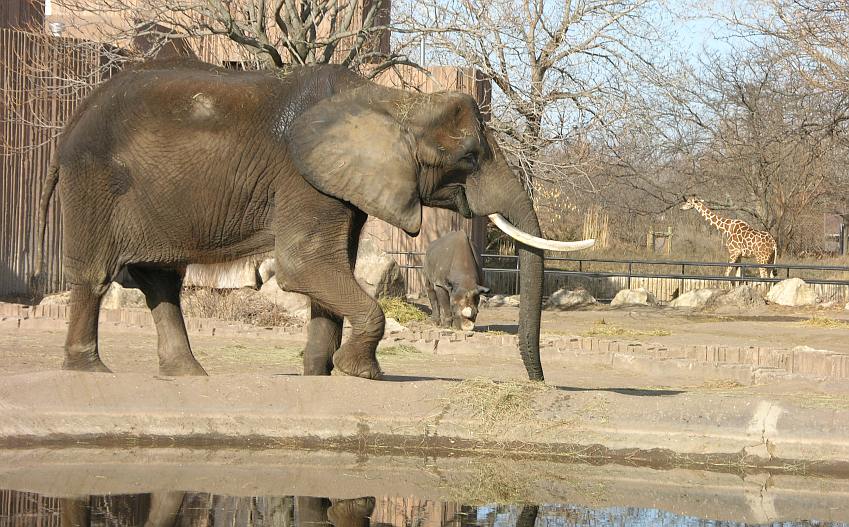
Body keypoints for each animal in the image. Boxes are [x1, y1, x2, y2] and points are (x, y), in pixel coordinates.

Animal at [31, 57, 588, 382]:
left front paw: (318, 372)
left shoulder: (340, 184)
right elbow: (306, 266)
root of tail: (70, 125)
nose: (538, 383)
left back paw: (189, 375)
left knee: (160, 280)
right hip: (94, 181)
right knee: (96, 276)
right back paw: (89, 370)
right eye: (470, 157)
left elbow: (333, 267)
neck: (392, 101)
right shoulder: (303, 177)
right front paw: (360, 373)